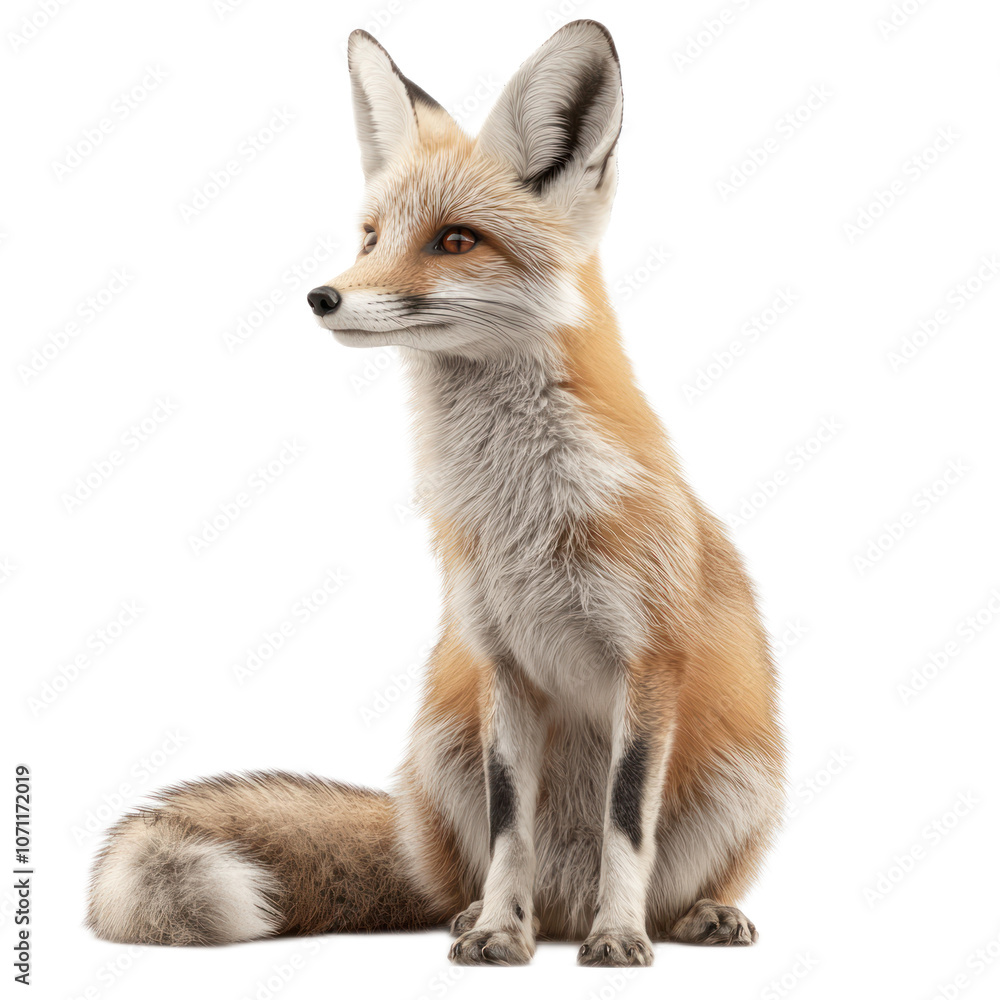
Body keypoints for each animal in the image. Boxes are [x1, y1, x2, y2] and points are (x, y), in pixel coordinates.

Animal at [87, 20, 785, 967]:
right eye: (372, 235)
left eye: (456, 240)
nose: (322, 296)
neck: (525, 516)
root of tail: (563, 905)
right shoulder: (502, 666)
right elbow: (509, 828)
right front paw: (497, 931)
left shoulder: (648, 665)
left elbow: (625, 828)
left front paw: (618, 936)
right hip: (440, 748)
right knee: (467, 876)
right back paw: (485, 916)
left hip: (742, 777)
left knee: (671, 878)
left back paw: (687, 915)